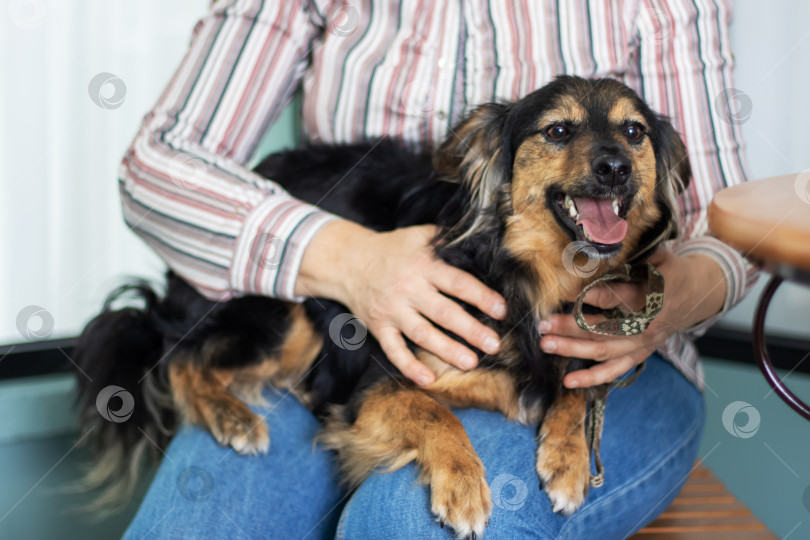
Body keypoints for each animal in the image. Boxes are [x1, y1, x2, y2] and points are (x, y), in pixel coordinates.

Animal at [74, 75, 688, 536]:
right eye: (558, 130)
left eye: (633, 132)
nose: (615, 167)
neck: (531, 280)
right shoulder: (374, 385)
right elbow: (433, 410)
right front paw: (463, 483)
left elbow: (577, 389)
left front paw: (567, 460)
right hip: (288, 316)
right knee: (176, 355)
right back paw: (233, 416)